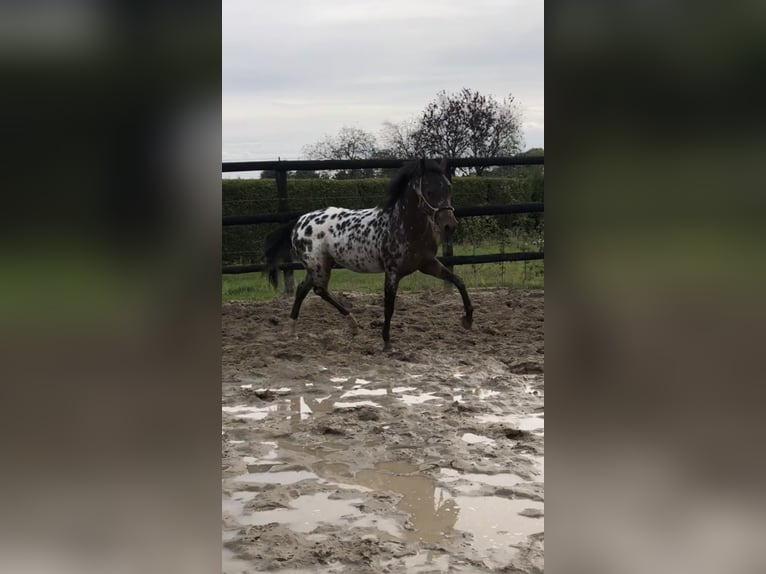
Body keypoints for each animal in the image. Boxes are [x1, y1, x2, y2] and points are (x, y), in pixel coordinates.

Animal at [268, 160, 476, 354]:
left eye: (448, 187)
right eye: (429, 190)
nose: (450, 225)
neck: (401, 225)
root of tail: (299, 222)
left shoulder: (427, 264)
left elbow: (459, 280)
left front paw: (467, 320)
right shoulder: (392, 272)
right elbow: (389, 306)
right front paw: (387, 343)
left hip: (321, 265)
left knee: (304, 289)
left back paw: (297, 330)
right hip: (318, 265)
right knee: (318, 290)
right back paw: (350, 325)